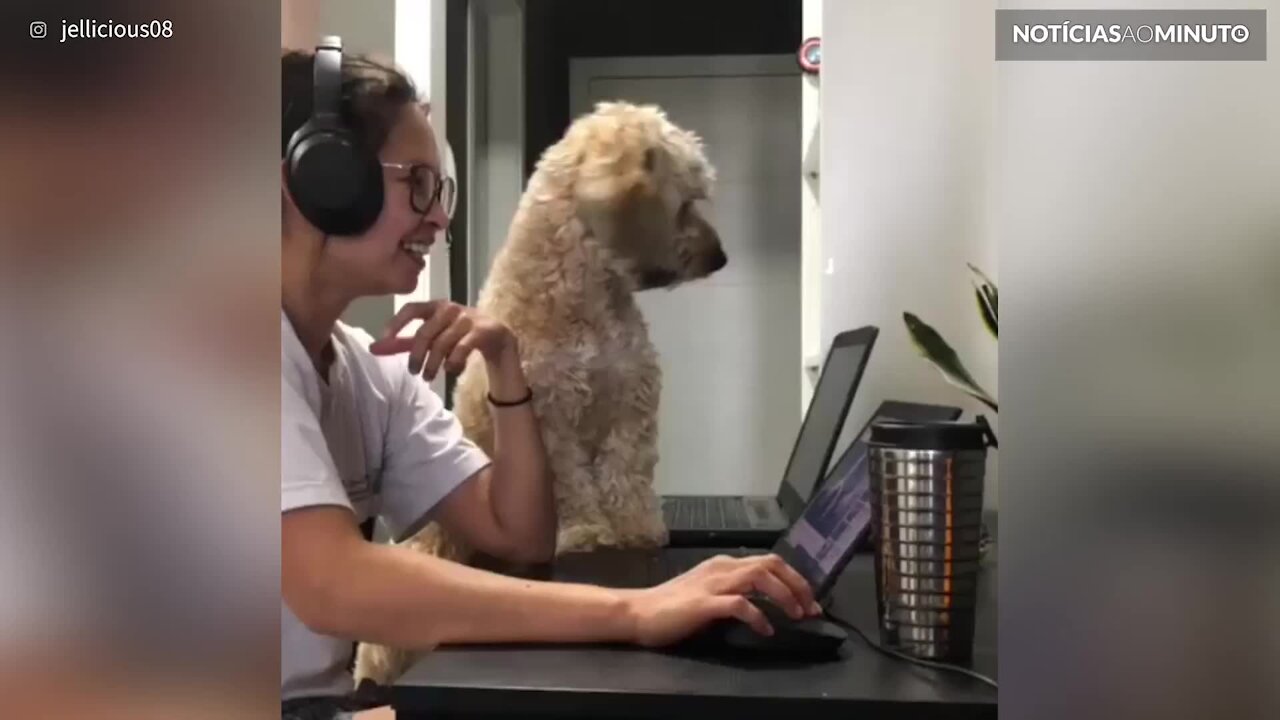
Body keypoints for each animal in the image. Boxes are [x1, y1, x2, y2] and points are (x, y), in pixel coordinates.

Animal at [355, 99, 727, 676]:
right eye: (686, 202)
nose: (721, 257)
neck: (588, 297)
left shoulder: (631, 402)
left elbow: (627, 471)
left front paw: (636, 527)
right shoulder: (551, 417)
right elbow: (573, 481)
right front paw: (588, 532)